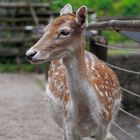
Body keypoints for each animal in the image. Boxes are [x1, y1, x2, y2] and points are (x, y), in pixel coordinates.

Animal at [26, 3, 121, 140]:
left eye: (64, 31)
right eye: (45, 29)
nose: (30, 54)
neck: (85, 114)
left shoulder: (103, 128)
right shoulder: (69, 126)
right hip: (62, 123)